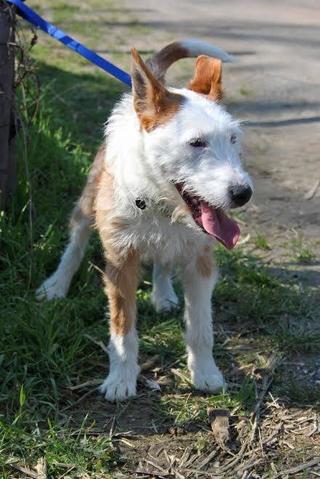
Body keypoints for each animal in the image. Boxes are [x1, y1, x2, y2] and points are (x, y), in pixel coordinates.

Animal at [37, 40, 252, 402]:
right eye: (196, 143)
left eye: (234, 139)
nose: (242, 193)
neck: (159, 202)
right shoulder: (120, 261)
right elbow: (123, 331)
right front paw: (121, 378)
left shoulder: (200, 262)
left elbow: (201, 328)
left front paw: (206, 373)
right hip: (88, 200)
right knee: (76, 244)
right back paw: (57, 283)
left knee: (164, 259)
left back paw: (163, 293)